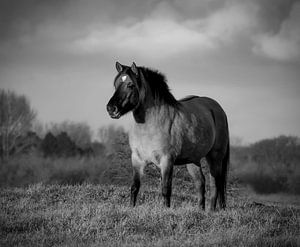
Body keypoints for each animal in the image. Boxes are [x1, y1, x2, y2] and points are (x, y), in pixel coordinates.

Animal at [106, 61, 231, 210]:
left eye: (130, 85)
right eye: (115, 84)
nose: (111, 109)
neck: (150, 126)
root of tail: (218, 109)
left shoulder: (167, 160)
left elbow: (166, 189)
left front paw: (166, 210)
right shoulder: (137, 160)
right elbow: (135, 187)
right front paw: (131, 208)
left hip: (215, 157)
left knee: (215, 184)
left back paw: (212, 211)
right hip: (192, 160)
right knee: (200, 183)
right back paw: (201, 210)